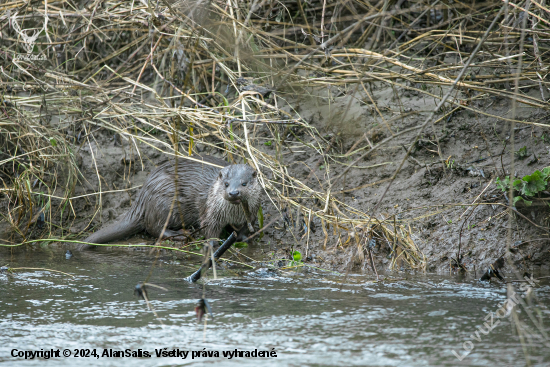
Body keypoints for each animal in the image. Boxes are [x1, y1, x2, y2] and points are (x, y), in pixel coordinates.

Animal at [81, 155, 262, 250]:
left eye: (244, 183)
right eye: (226, 183)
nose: (233, 192)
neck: (233, 214)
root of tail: (143, 197)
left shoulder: (253, 213)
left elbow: (245, 227)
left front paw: (246, 238)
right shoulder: (210, 212)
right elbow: (210, 229)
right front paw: (212, 245)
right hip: (165, 201)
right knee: (154, 227)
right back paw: (180, 234)